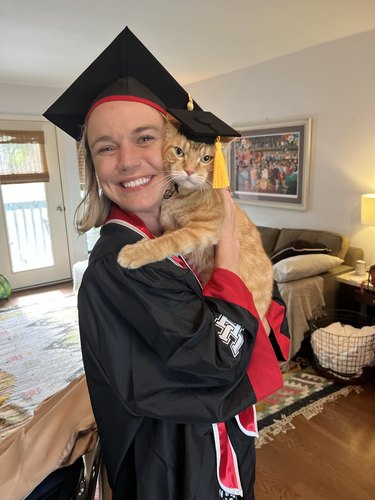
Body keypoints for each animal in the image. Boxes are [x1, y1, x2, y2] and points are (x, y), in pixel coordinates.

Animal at [118, 119, 274, 318]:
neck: (180, 196)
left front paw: (135, 252)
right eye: (179, 152)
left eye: (206, 159)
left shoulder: (202, 229)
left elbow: (167, 242)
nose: (189, 170)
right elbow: (162, 237)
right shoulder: (171, 226)